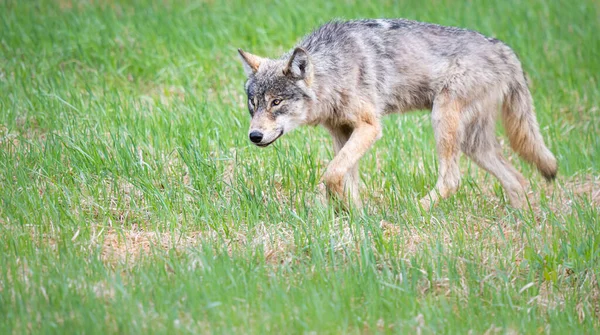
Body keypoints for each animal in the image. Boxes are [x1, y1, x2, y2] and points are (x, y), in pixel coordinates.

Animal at [237, 18, 556, 210]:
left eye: (276, 102)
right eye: (253, 104)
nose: (254, 136)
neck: (334, 71)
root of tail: (503, 49)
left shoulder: (369, 127)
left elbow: (332, 174)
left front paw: (351, 212)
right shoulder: (342, 132)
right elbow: (345, 177)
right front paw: (355, 214)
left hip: (443, 122)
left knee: (452, 179)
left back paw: (414, 212)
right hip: (473, 144)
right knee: (518, 180)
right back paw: (523, 223)